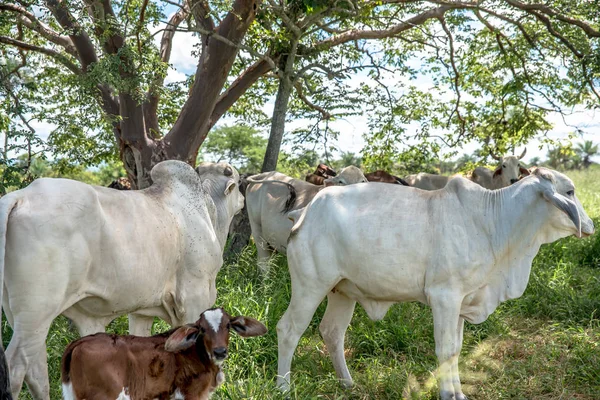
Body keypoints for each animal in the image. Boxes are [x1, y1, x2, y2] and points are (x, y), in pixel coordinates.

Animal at [0, 161, 244, 398]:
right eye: (238, 182)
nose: (242, 198)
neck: (209, 213)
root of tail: (21, 196)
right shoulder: (194, 300)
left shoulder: (142, 313)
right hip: (37, 312)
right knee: (16, 368)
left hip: (19, 315)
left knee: (36, 372)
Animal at [278, 167, 596, 400]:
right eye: (569, 191)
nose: (591, 225)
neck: (493, 222)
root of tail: (305, 211)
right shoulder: (445, 297)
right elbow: (445, 349)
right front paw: (446, 394)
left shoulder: (462, 300)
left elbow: (456, 348)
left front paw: (458, 394)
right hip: (310, 286)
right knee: (289, 330)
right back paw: (283, 387)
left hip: (342, 291)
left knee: (332, 332)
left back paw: (347, 383)